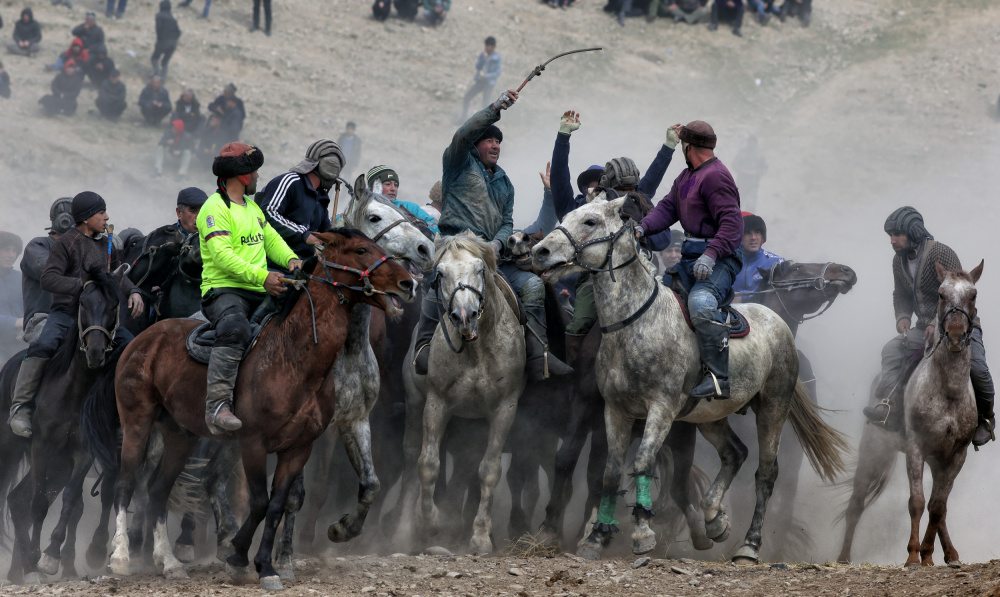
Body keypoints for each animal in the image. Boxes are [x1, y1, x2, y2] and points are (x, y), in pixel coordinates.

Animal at [5, 270, 127, 584]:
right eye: (83, 303)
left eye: (114, 306)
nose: (95, 352)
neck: (74, 392)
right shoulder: (41, 447)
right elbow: (39, 504)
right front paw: (39, 559)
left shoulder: (83, 452)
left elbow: (73, 500)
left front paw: (51, 556)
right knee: (22, 500)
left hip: (60, 465)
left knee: (17, 500)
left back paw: (20, 569)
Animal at [109, 230, 418, 588]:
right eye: (361, 249)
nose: (409, 283)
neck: (294, 357)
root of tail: (146, 337)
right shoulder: (253, 443)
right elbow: (259, 503)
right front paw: (238, 558)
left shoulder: (301, 447)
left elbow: (277, 505)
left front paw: (265, 566)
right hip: (137, 421)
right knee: (126, 482)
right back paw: (120, 557)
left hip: (179, 434)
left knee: (158, 490)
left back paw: (169, 562)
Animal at [536, 197, 848, 564]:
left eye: (590, 221)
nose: (539, 251)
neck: (637, 324)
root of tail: (777, 321)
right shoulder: (614, 410)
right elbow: (609, 473)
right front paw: (595, 538)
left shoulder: (661, 409)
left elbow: (643, 462)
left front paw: (642, 534)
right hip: (710, 417)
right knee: (735, 454)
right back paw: (714, 519)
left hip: (773, 406)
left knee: (766, 473)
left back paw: (749, 545)